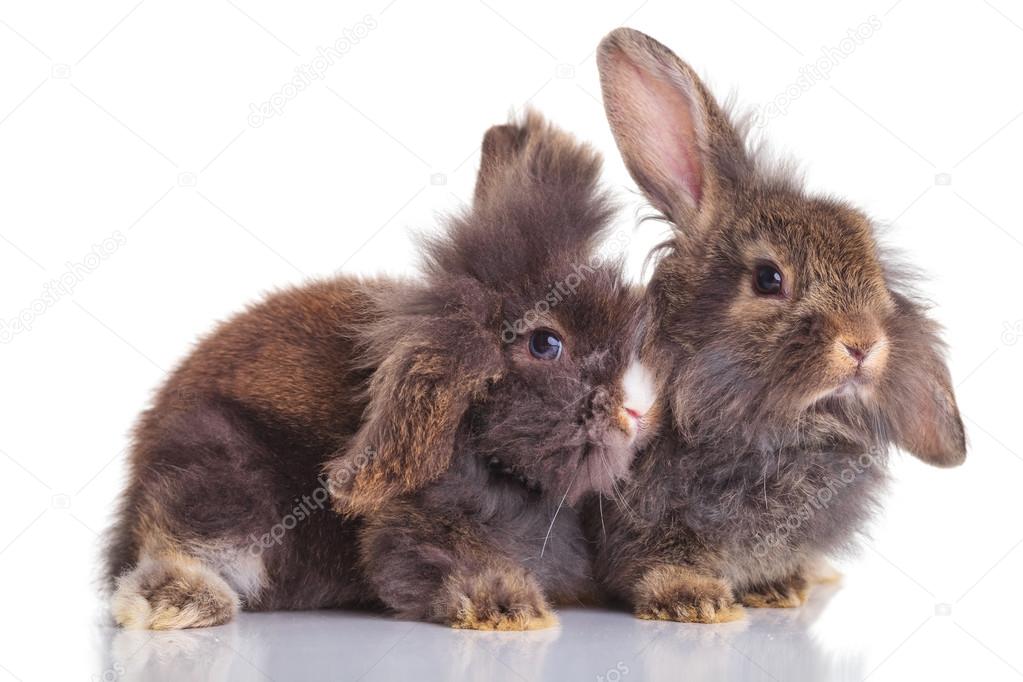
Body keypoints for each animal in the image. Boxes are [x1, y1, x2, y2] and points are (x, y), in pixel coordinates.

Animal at [105, 110, 659, 631]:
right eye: (546, 343)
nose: (640, 407)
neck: (491, 457)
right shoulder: (412, 531)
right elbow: (436, 562)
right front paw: (511, 609)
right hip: (221, 470)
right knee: (176, 541)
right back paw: (180, 602)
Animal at [584, 28, 966, 624]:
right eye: (768, 279)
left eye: (876, 271)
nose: (864, 344)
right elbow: (660, 561)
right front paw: (693, 600)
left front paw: (778, 589)